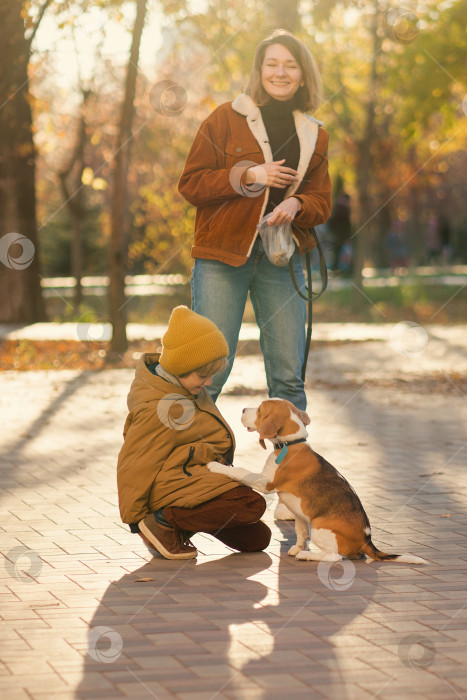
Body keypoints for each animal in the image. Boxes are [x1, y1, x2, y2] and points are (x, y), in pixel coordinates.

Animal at [208, 400, 428, 564]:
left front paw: (215, 466)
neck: (290, 445)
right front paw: (297, 547)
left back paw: (308, 555)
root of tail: (367, 540)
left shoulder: (266, 483)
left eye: (260, 409)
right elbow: (300, 532)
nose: (243, 409)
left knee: (334, 557)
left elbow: (240, 471)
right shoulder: (299, 513)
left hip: (320, 527)